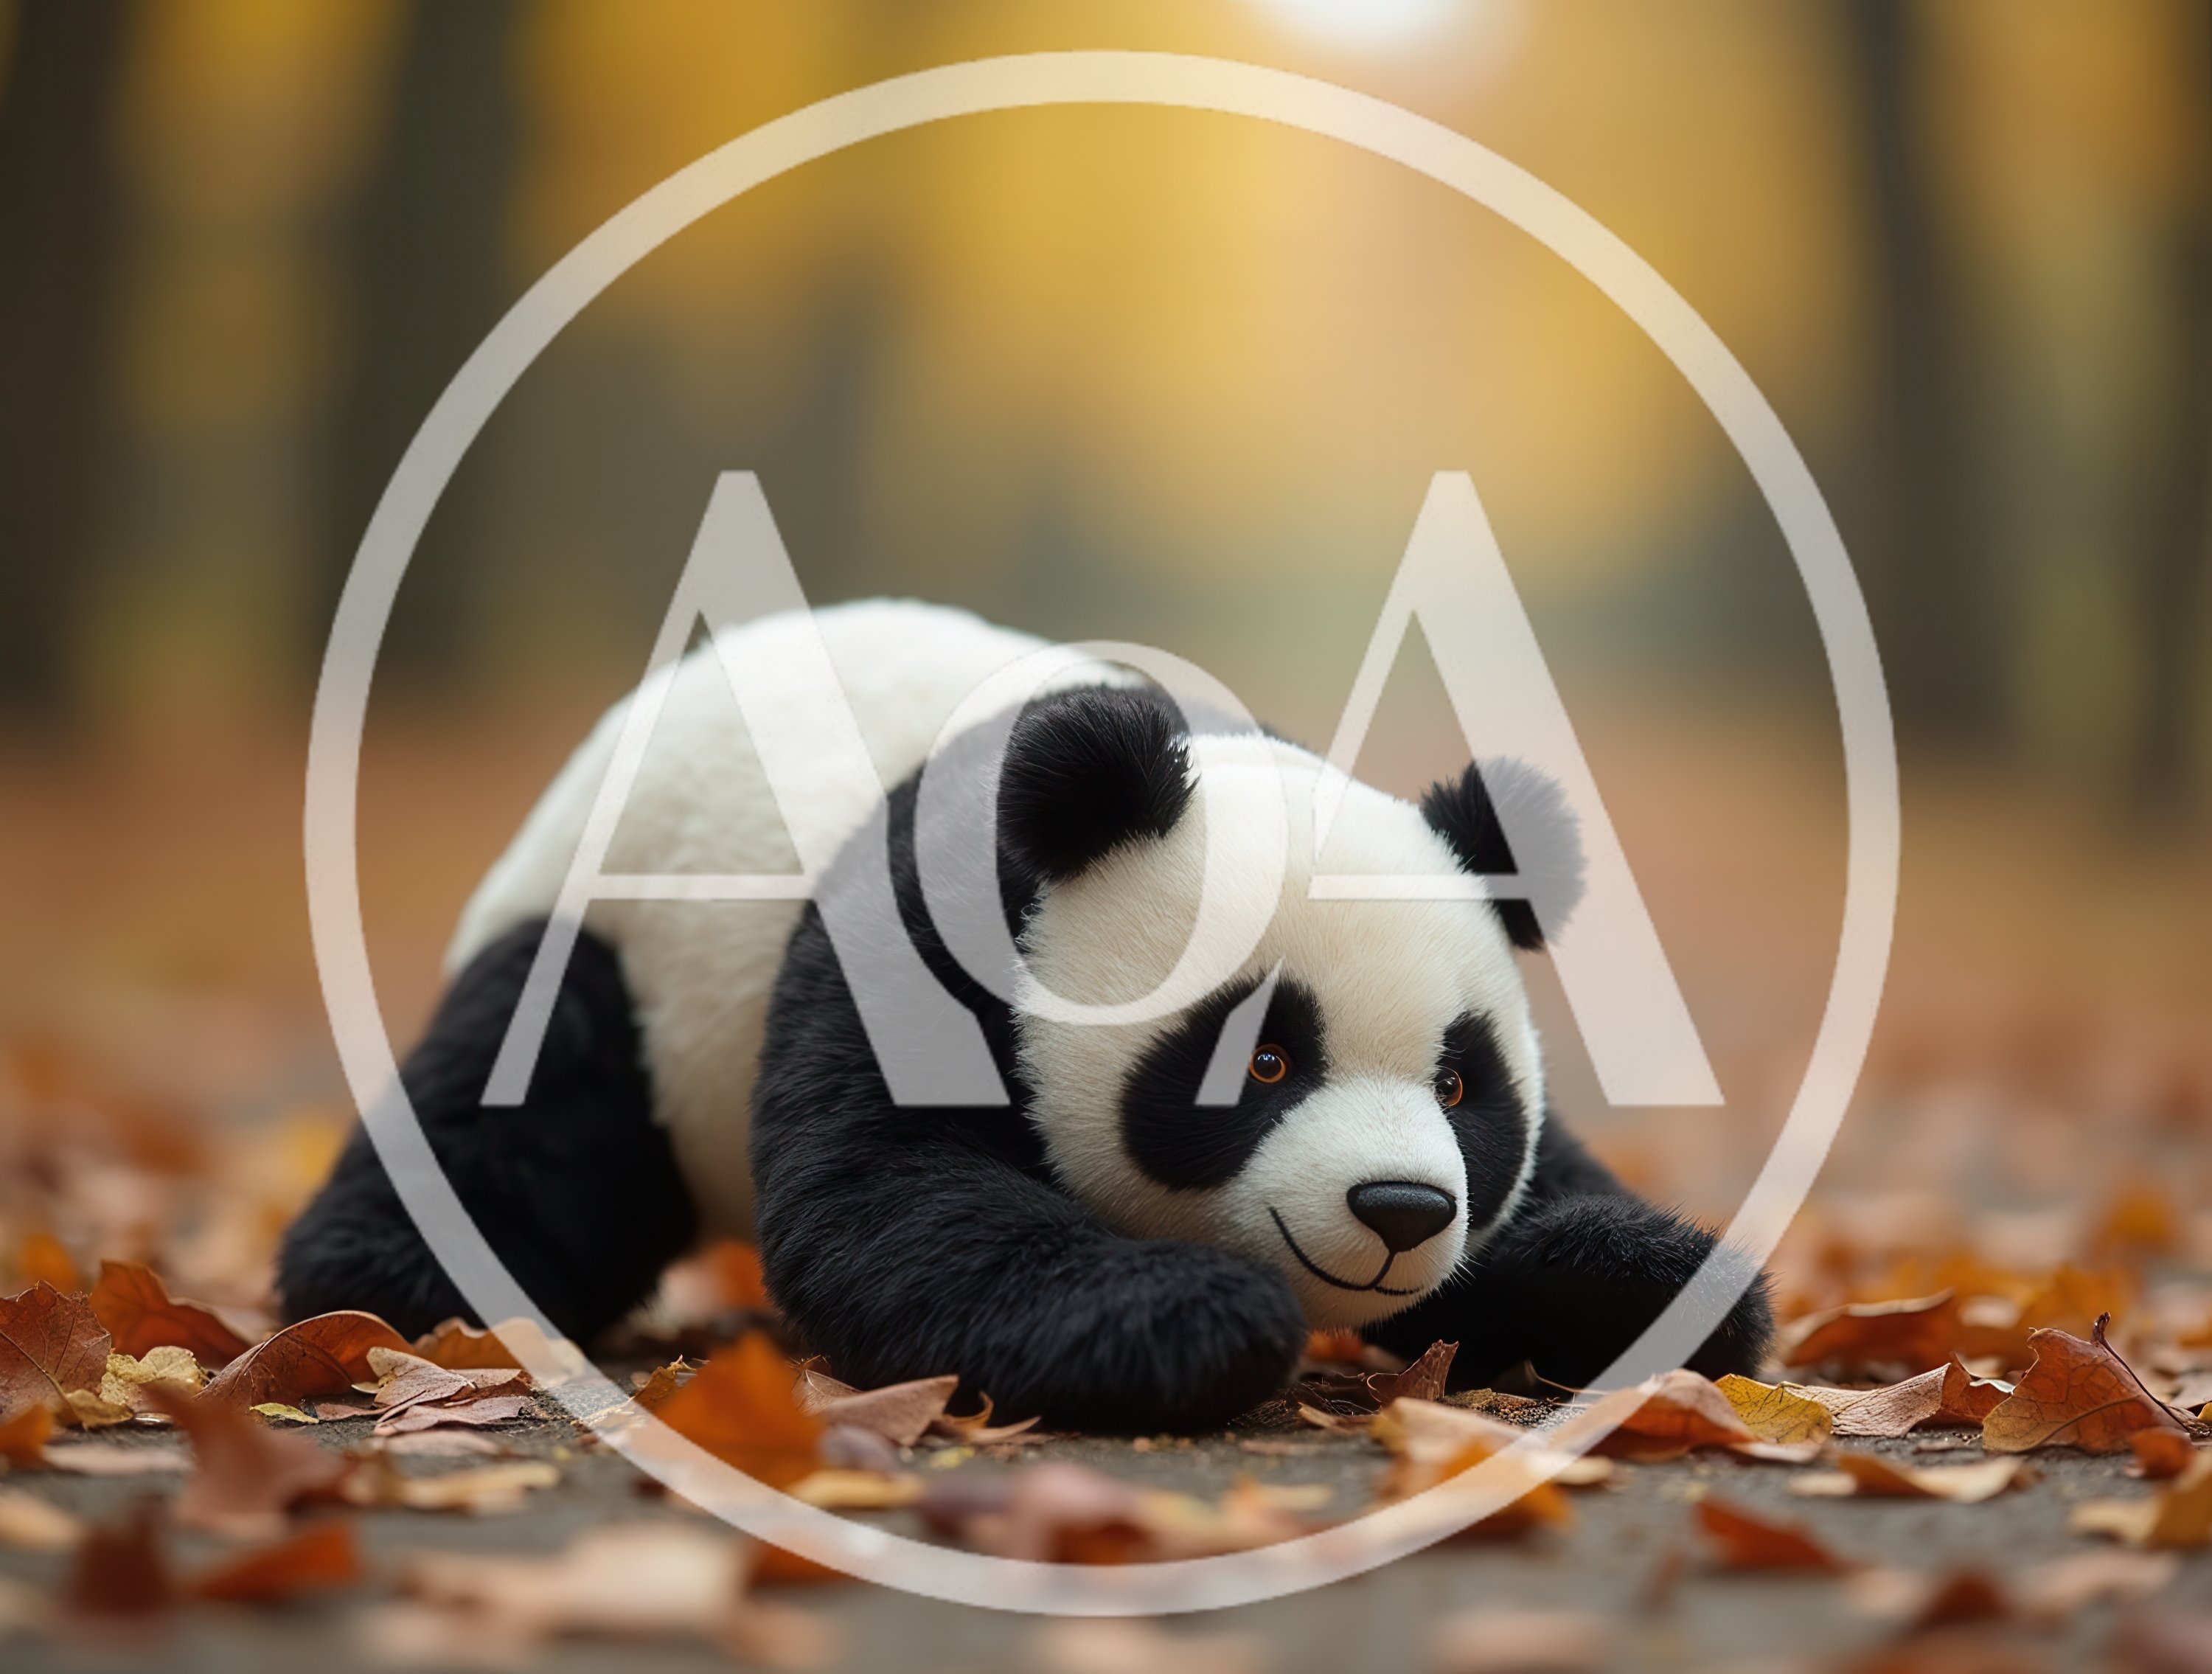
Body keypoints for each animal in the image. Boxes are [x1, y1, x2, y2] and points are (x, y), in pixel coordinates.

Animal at [278, 599, 1771, 1433]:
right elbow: (896, 1199)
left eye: (1463, 1086)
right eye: (1262, 1061)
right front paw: (1192, 1322)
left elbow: (1553, 1204)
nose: (1402, 1209)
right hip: (612, 942)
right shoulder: (916, 936)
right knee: (516, 1115)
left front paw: (1649, 1284)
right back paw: (387, 1285)